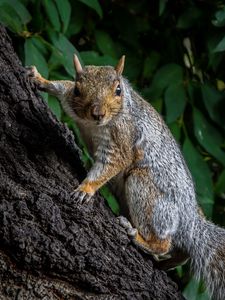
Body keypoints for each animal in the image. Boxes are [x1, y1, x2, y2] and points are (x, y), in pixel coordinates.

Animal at [27, 55, 225, 298]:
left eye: (118, 90)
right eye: (78, 89)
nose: (98, 113)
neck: (95, 124)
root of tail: (189, 220)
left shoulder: (121, 140)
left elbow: (110, 164)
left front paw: (85, 188)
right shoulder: (71, 101)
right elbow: (62, 86)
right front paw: (40, 79)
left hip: (146, 192)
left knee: (163, 242)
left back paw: (137, 236)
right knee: (183, 253)